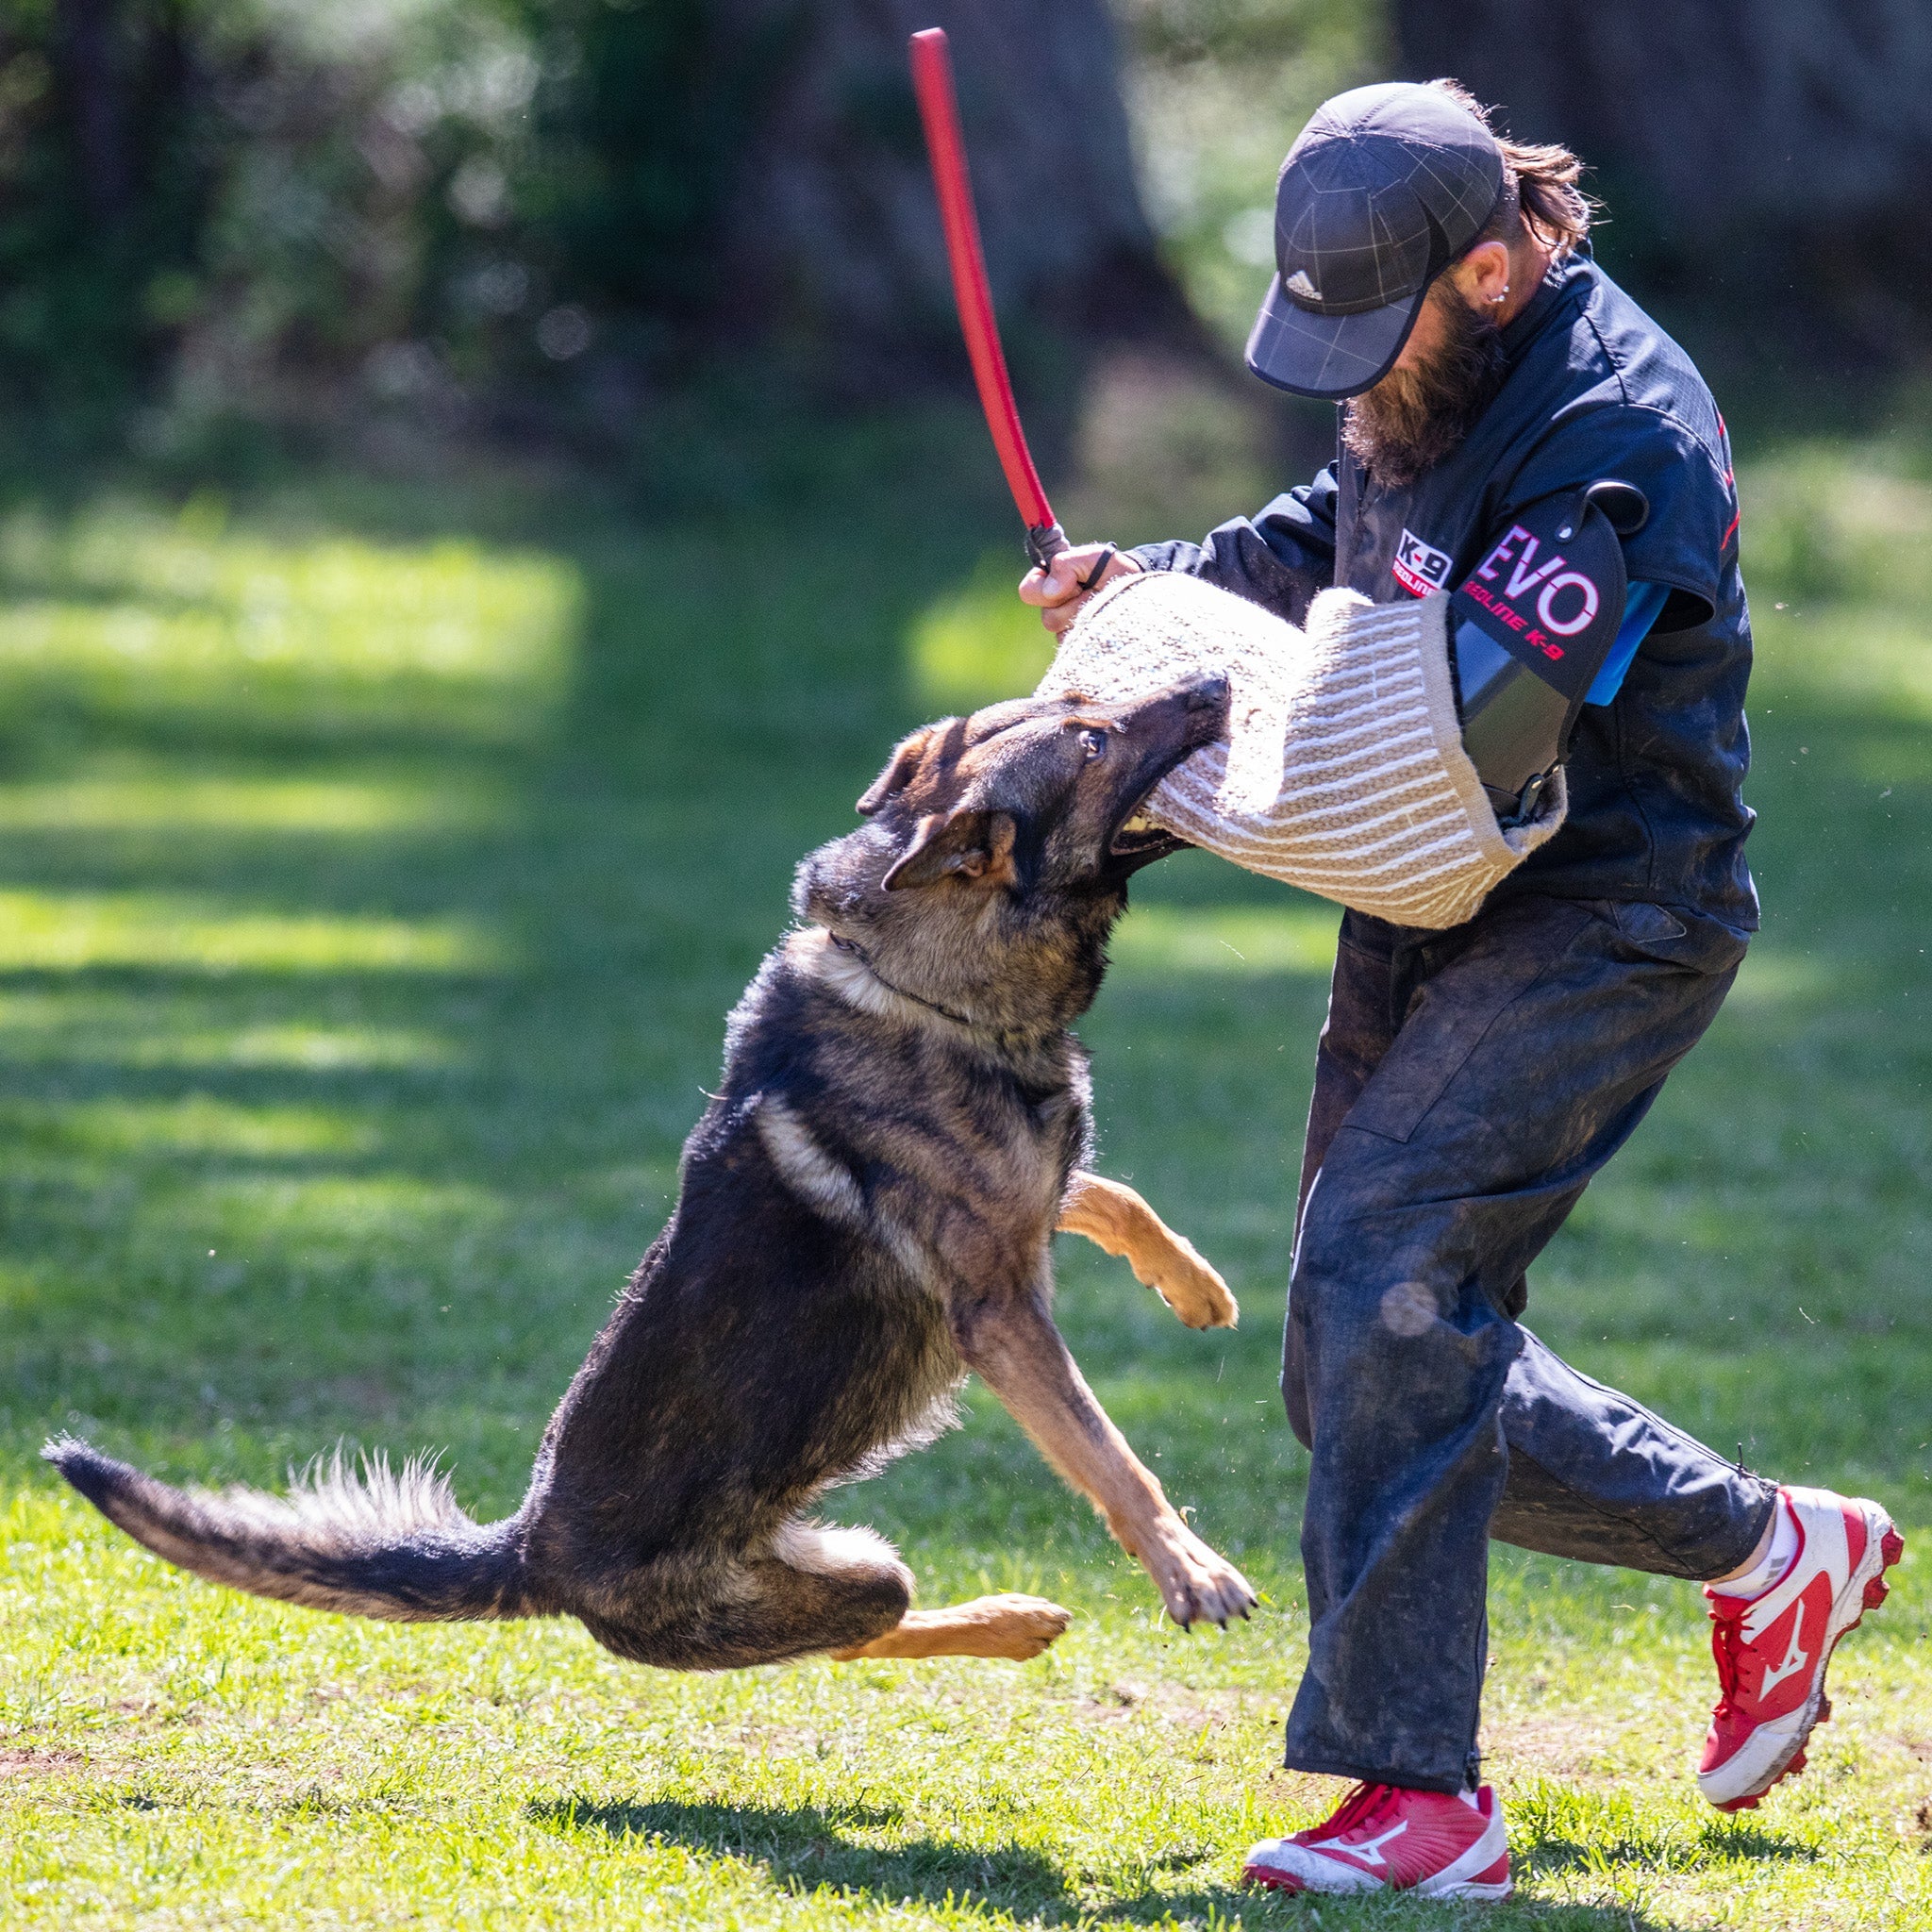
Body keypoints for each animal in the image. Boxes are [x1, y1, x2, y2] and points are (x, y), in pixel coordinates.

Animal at [45, 672, 1259, 1669]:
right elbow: (1108, 1450)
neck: (920, 980)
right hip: (840, 1576)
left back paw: (1015, 1617)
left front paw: (1195, 1284)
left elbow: (1107, 1192)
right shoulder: (996, 1308)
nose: (1214, 678)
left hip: (841, 1559)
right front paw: (1187, 1567)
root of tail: (527, 1545)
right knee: (856, 1632)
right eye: (1094, 739)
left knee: (859, 1631)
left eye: (1089, 708)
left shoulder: (1026, 1209)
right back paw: (1009, 1619)